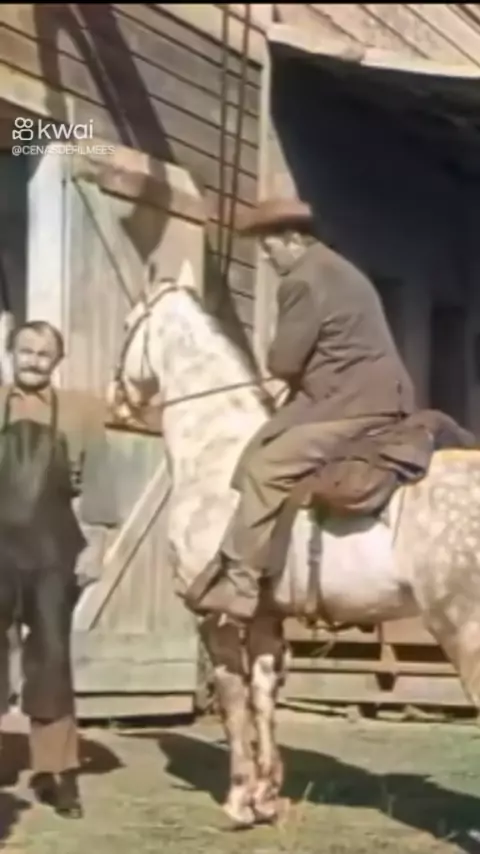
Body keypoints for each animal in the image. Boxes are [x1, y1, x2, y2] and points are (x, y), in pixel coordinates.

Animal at [108, 266, 480, 829]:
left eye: (130, 323)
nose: (114, 400)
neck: (218, 453)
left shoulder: (215, 616)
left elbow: (233, 699)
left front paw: (240, 799)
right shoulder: (265, 617)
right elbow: (263, 698)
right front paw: (266, 796)